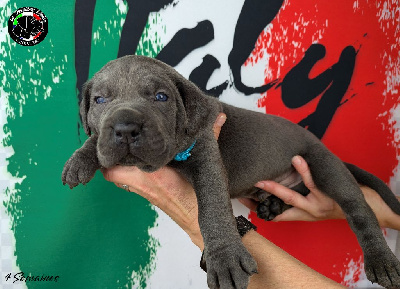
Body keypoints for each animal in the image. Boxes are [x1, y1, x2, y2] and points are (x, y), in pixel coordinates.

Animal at [62, 54, 400, 288]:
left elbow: (211, 208)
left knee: (359, 209)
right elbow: (96, 138)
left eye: (160, 97)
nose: (125, 128)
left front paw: (224, 258)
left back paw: (381, 260)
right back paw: (274, 203)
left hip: (323, 164)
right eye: (99, 100)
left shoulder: (205, 153)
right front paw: (80, 159)